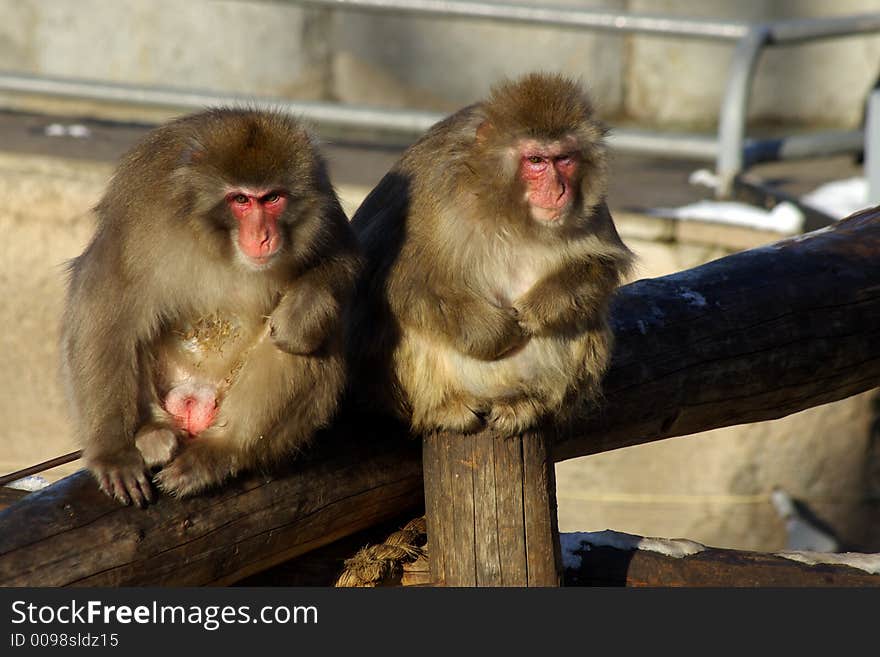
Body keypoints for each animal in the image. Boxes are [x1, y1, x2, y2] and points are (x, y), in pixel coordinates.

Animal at [61, 109, 360, 508]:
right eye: (241, 200)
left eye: (273, 198)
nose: (263, 236)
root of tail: (194, 399)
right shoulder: (142, 215)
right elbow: (103, 302)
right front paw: (112, 454)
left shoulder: (321, 201)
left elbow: (343, 259)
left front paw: (302, 309)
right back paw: (152, 435)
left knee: (312, 337)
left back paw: (221, 451)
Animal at [348, 73, 632, 436]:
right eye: (536, 161)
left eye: (564, 159)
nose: (559, 191)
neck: (506, 209)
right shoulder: (431, 194)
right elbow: (402, 282)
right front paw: (500, 331)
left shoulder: (593, 208)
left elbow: (601, 264)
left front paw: (533, 311)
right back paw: (444, 407)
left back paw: (526, 403)